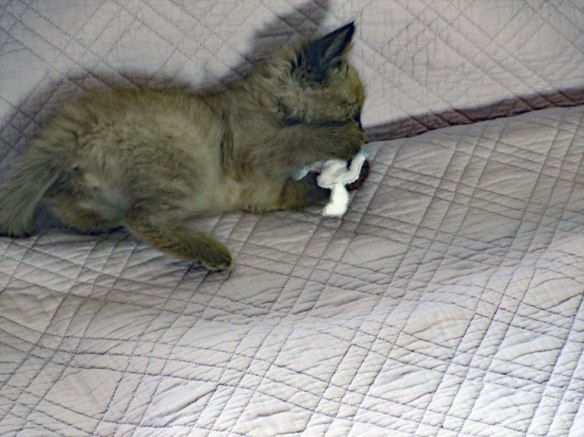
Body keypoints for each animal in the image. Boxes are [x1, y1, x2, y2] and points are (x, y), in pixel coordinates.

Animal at [0, 22, 367, 271]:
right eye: (354, 112)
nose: (365, 129)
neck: (269, 105)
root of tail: (77, 123)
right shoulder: (254, 153)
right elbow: (299, 138)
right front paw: (347, 142)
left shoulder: (266, 194)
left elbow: (305, 187)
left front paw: (357, 175)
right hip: (188, 163)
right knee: (141, 218)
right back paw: (213, 254)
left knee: (99, 213)